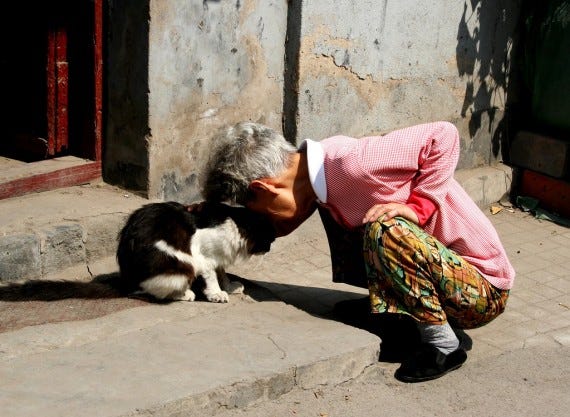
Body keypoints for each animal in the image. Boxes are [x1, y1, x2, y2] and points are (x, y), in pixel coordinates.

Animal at [116, 200, 274, 300]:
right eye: (269, 240)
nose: (269, 249)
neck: (235, 222)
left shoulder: (218, 255)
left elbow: (222, 273)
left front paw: (228, 287)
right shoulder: (204, 258)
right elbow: (212, 277)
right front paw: (216, 293)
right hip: (184, 264)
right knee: (150, 291)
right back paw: (185, 294)